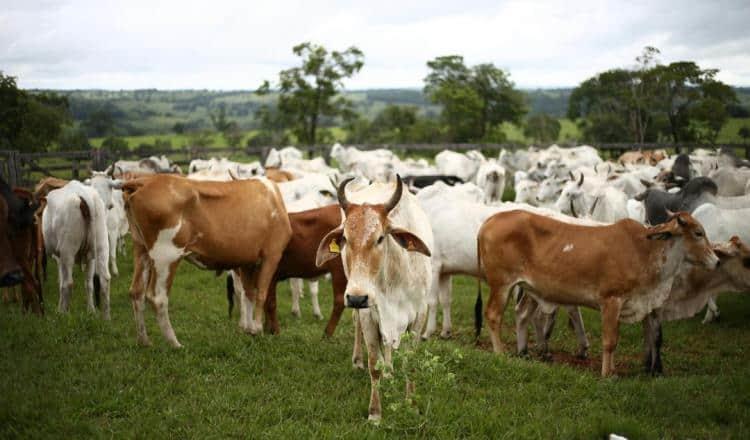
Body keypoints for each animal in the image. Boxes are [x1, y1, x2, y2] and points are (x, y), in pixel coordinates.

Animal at [478, 209, 720, 374]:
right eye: (698, 233)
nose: (716, 261)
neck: (645, 251)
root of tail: (489, 220)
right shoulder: (611, 301)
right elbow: (610, 341)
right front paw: (607, 374)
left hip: (527, 289)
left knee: (521, 315)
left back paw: (523, 353)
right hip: (501, 284)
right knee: (493, 315)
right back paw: (500, 353)